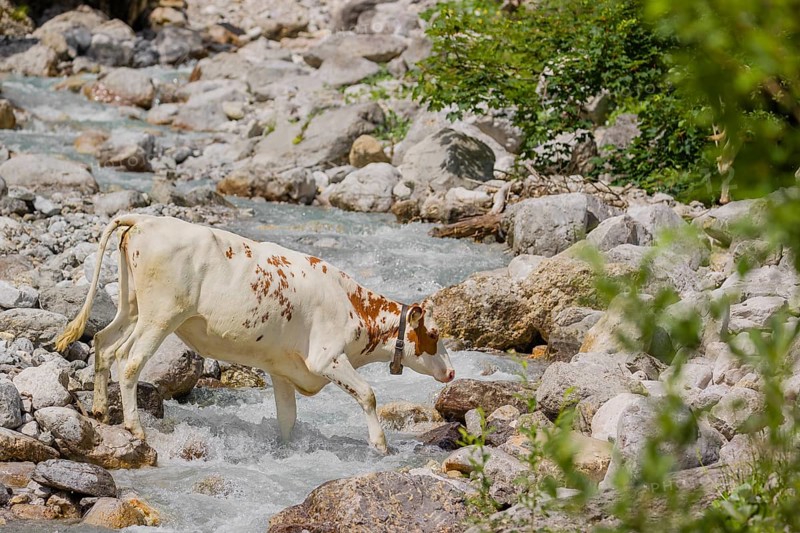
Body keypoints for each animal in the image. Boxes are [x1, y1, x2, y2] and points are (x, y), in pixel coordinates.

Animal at [55, 215, 455, 453]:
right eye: (434, 333)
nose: (452, 372)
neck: (352, 305)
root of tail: (144, 218)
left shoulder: (283, 370)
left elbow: (288, 418)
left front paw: (287, 450)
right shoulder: (326, 358)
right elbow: (369, 394)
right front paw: (380, 444)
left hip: (132, 306)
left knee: (104, 344)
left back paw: (100, 409)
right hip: (160, 316)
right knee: (129, 360)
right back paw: (136, 429)